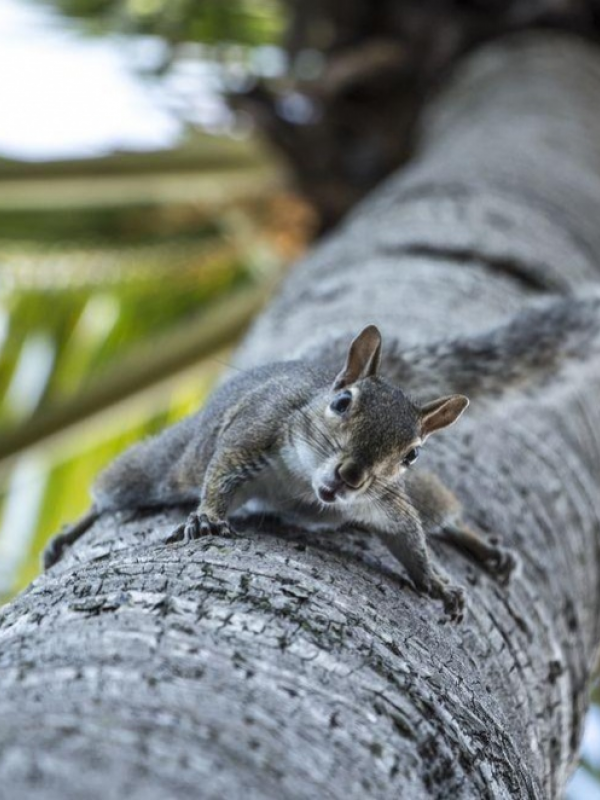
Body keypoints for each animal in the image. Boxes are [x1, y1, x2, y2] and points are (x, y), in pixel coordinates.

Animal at [44, 322, 524, 620]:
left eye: (412, 455)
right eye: (342, 403)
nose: (352, 476)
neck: (306, 487)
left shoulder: (386, 503)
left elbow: (409, 539)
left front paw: (437, 583)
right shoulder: (253, 435)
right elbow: (222, 473)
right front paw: (208, 517)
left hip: (414, 492)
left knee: (438, 509)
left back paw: (481, 546)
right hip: (171, 465)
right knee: (123, 484)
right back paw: (70, 532)